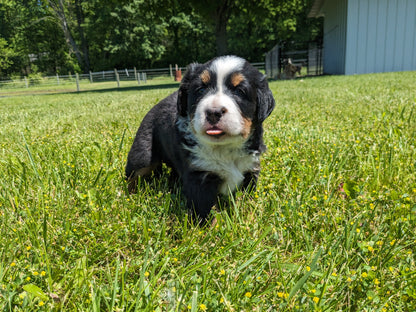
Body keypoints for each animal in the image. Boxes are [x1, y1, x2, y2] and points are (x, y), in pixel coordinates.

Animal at [127, 55, 276, 224]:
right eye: (201, 90)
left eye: (239, 91)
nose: (213, 112)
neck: (224, 149)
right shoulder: (199, 177)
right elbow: (206, 213)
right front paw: (210, 229)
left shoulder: (251, 168)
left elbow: (247, 199)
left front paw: (248, 217)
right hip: (142, 154)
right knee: (133, 175)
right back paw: (131, 196)